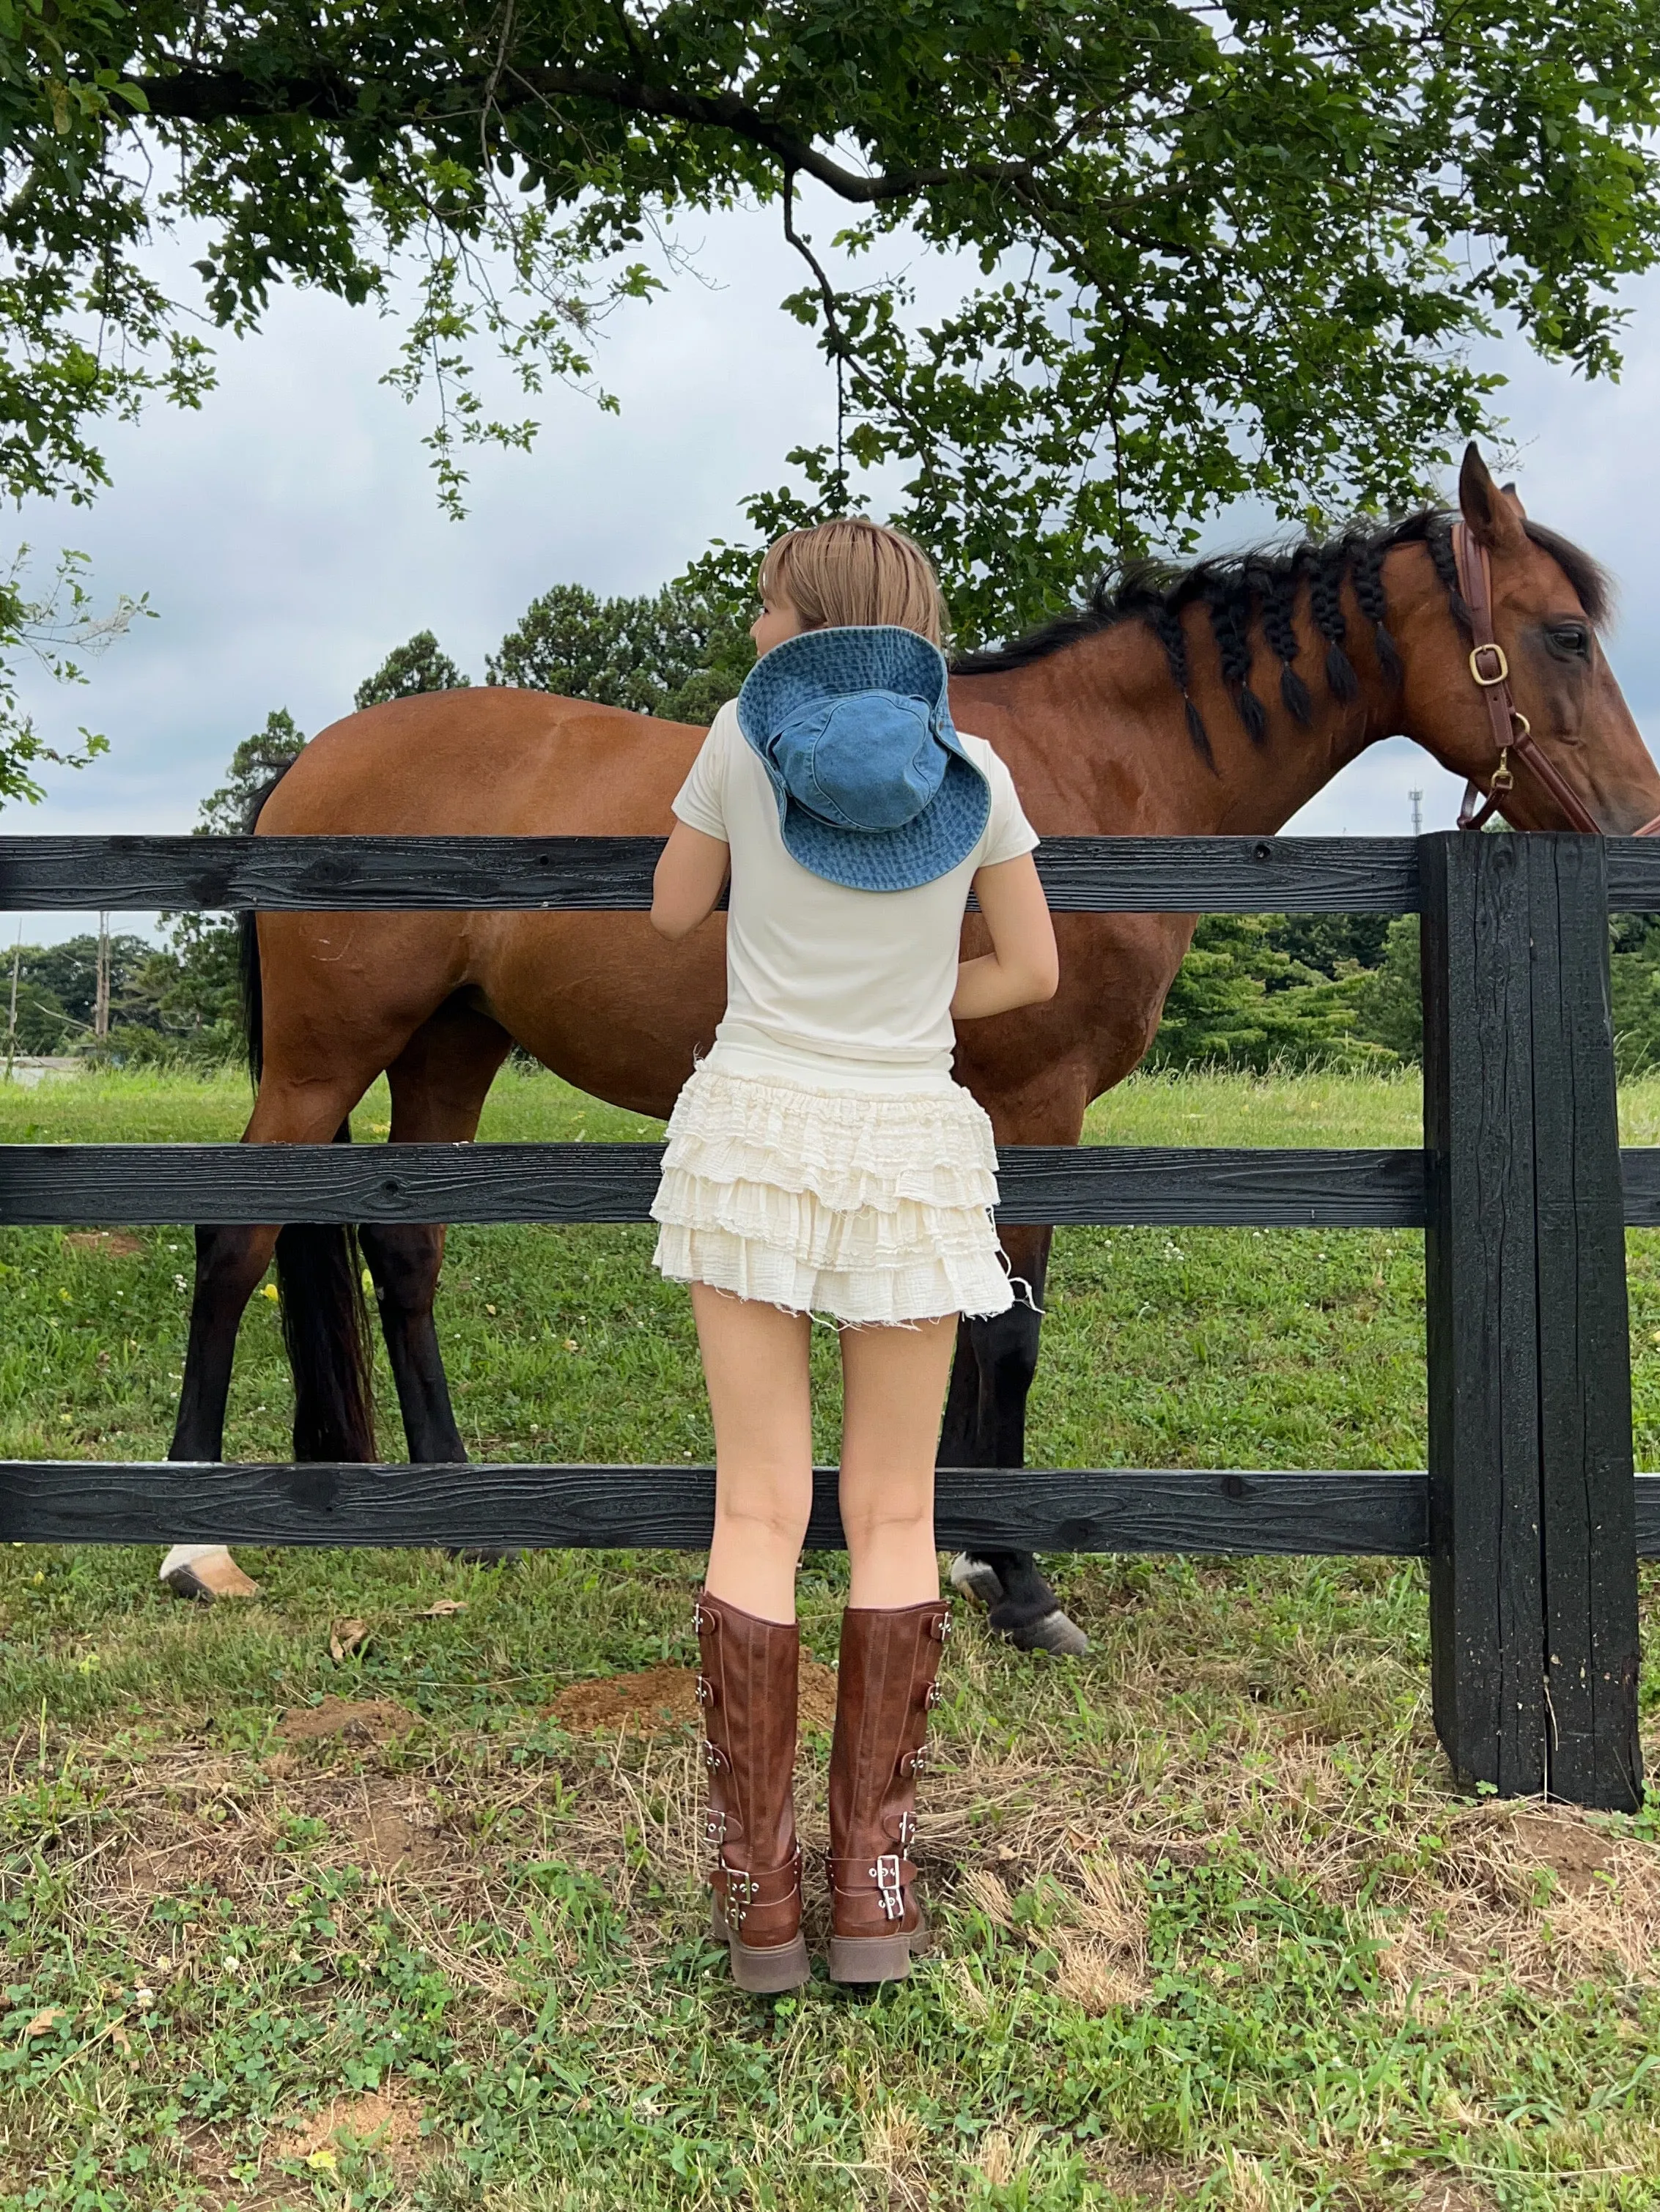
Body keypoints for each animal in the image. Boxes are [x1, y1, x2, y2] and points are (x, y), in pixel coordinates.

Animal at [169, 444, 1660, 1646]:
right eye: (1565, 634)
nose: (1639, 830)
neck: (1093, 775)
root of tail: (315, 759)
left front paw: (955, 1547)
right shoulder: (1039, 1104)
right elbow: (1008, 1335)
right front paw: (1024, 1582)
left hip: (448, 1048)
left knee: (403, 1249)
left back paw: (462, 1516)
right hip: (321, 1056)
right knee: (236, 1243)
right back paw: (192, 1540)